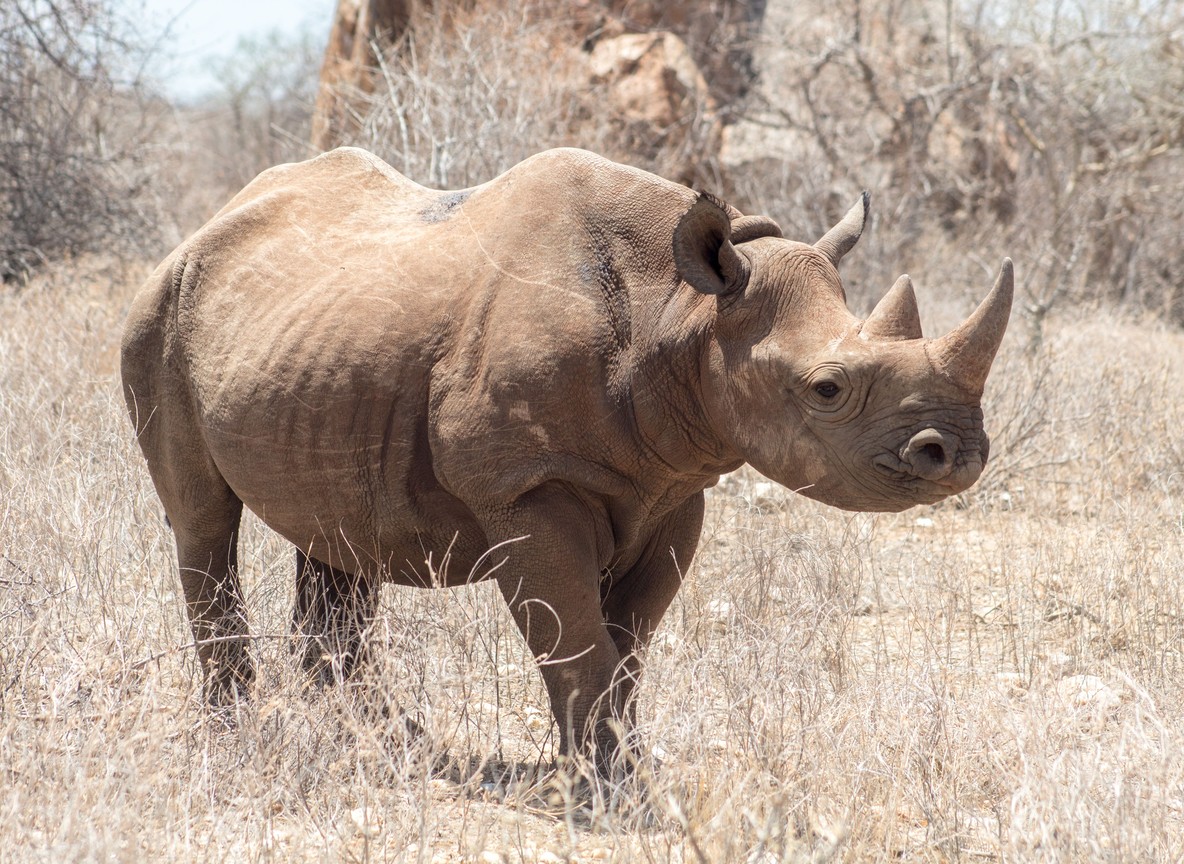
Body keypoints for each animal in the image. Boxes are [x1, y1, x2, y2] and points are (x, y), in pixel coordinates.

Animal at [120, 147, 1012, 775]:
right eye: (828, 389)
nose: (959, 454)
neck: (681, 313)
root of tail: (205, 227)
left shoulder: (674, 488)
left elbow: (627, 643)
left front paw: (614, 764)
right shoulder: (526, 488)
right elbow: (578, 638)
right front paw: (611, 786)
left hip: (320, 350)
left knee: (336, 536)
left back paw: (385, 743)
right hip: (158, 316)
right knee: (202, 520)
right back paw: (241, 735)